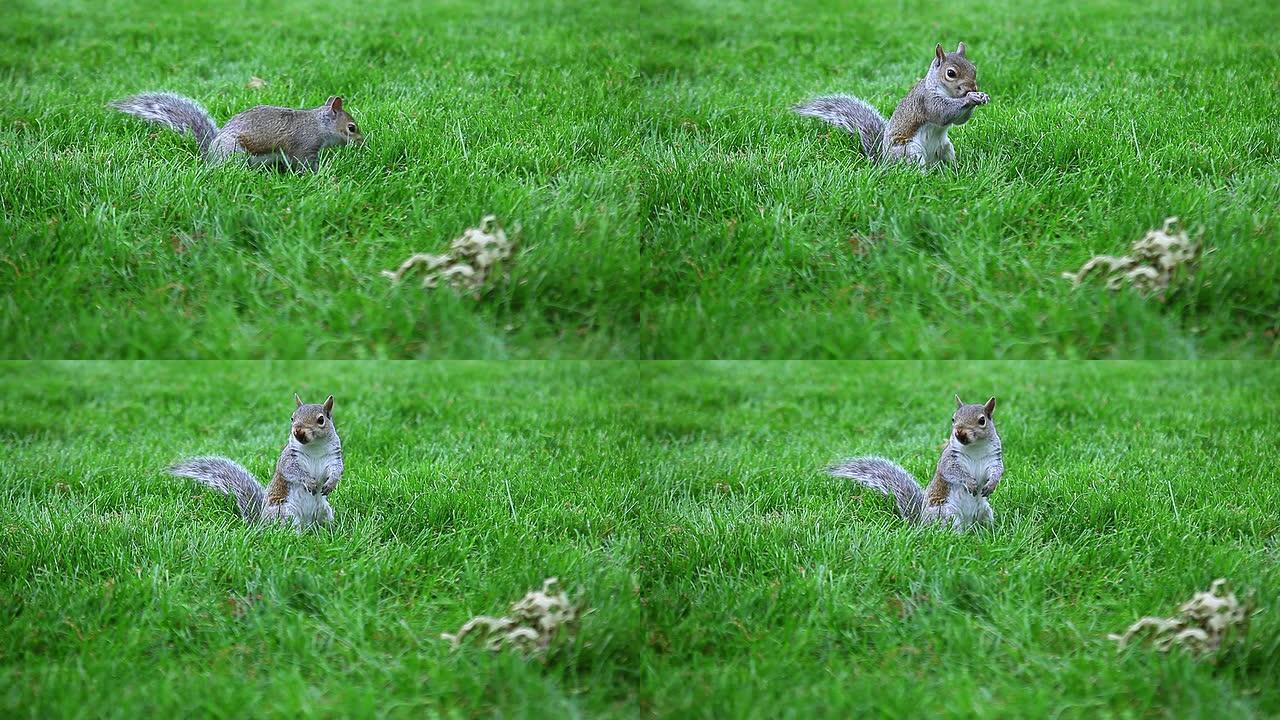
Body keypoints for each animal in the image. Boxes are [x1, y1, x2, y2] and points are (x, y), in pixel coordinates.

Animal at [108, 91, 366, 170]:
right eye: (351, 128)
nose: (362, 143)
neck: (318, 124)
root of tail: (210, 153)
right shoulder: (304, 148)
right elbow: (306, 165)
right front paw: (321, 174)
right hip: (236, 153)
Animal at [174, 392, 350, 527]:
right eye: (292, 418)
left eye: (321, 420)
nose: (298, 432)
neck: (314, 447)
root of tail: (260, 523)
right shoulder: (288, 459)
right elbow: (292, 471)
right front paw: (309, 482)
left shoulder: (333, 457)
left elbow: (337, 470)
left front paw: (331, 482)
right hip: (284, 513)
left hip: (324, 511)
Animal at [798, 42, 988, 166]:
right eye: (951, 73)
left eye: (974, 69)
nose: (973, 87)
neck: (946, 92)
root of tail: (885, 163)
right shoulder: (926, 101)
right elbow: (943, 114)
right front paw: (970, 98)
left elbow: (959, 120)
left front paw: (980, 96)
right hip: (910, 152)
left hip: (946, 148)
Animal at [824, 394, 1003, 530]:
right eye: (953, 419)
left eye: (982, 420)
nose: (959, 433)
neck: (975, 448)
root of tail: (920, 524)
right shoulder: (949, 460)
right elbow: (952, 472)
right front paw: (970, 482)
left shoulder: (994, 458)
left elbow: (998, 471)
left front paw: (991, 484)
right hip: (945, 514)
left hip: (985, 511)